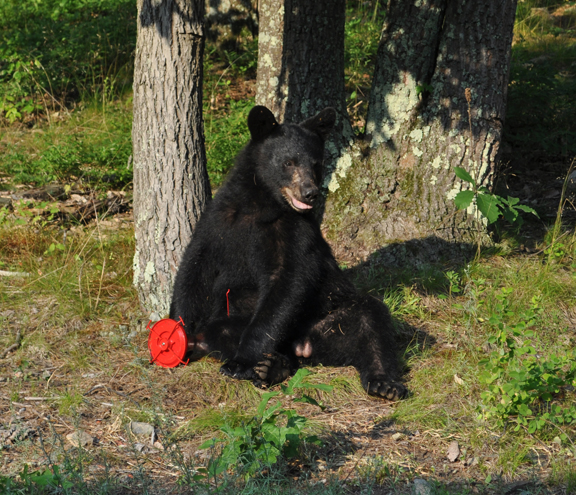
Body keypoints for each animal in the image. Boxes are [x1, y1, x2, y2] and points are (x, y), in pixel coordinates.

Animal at [169, 106, 408, 402]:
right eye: (289, 162)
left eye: (316, 163)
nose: (310, 193)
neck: (260, 205)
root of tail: (302, 346)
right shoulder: (218, 220)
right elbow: (195, 266)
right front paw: (176, 330)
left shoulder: (294, 232)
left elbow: (288, 280)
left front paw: (240, 363)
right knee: (220, 332)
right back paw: (271, 365)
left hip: (326, 317)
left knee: (370, 319)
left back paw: (384, 382)